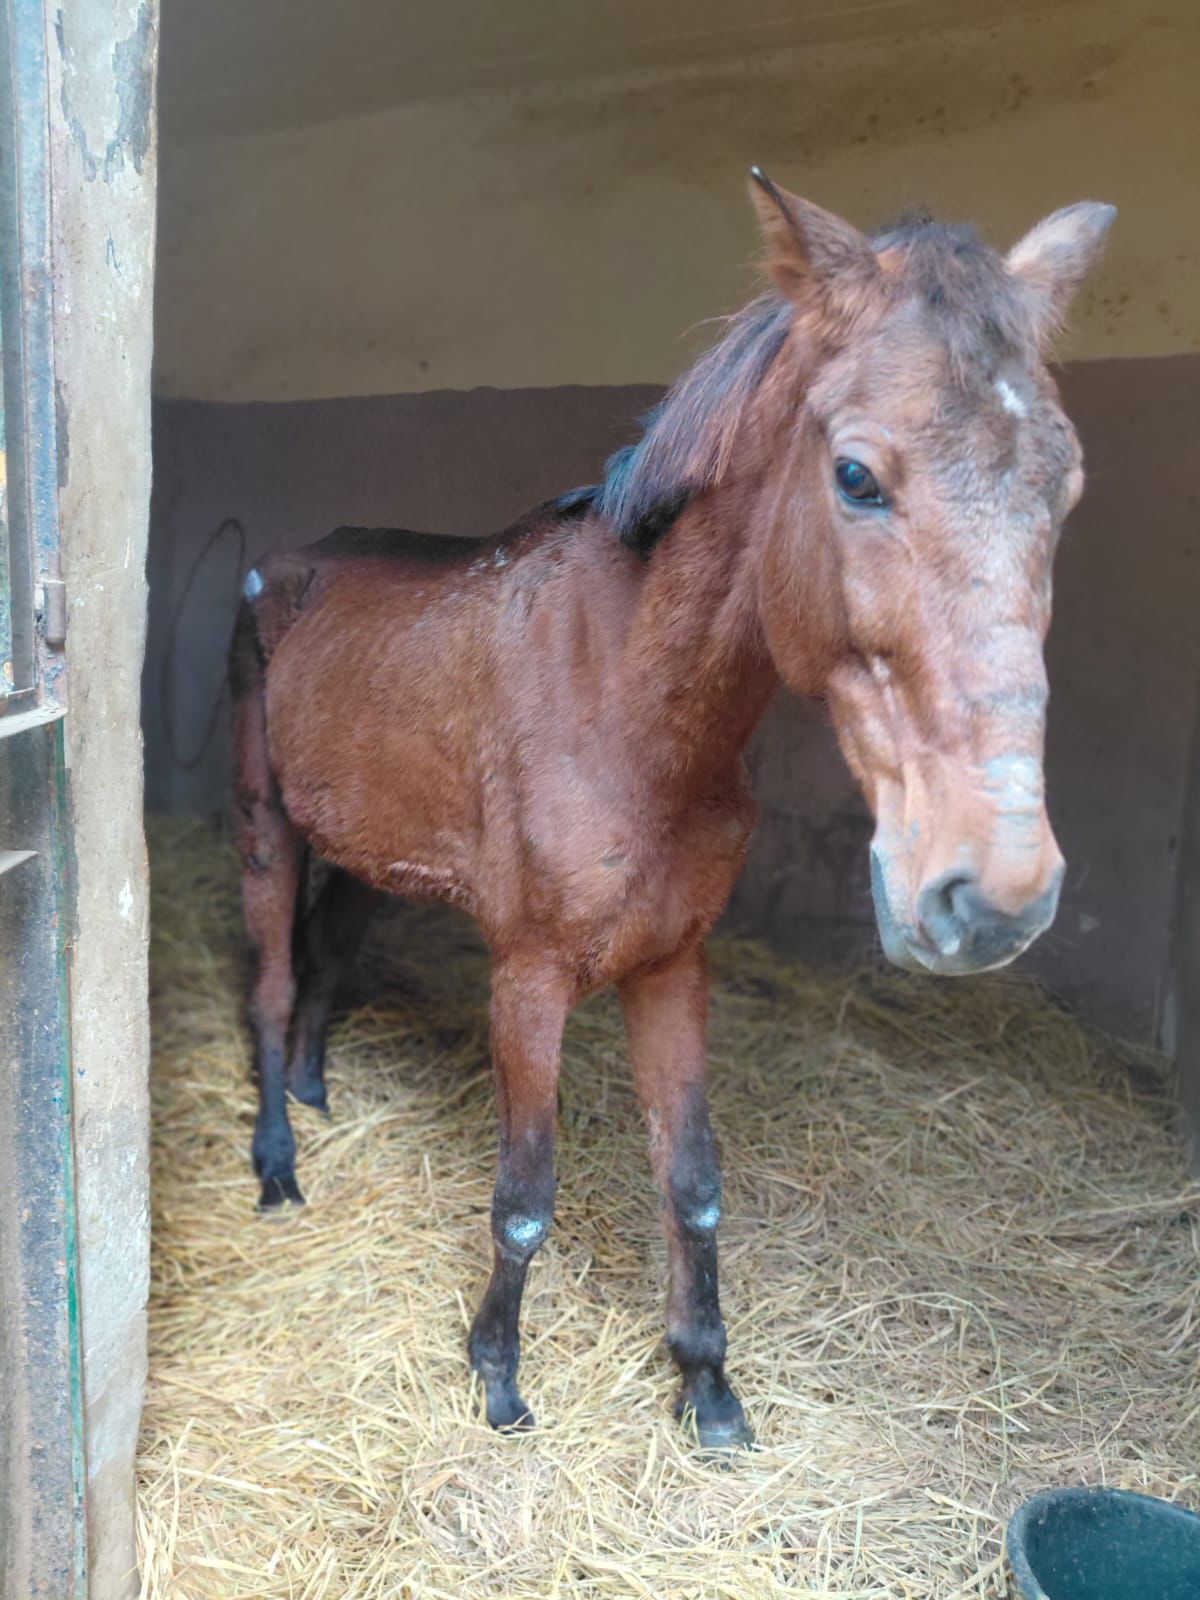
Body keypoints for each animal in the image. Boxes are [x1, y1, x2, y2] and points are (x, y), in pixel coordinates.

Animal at [230, 171, 1113, 1448]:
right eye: (857, 476)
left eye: (1063, 483)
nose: (991, 897)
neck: (629, 698)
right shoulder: (530, 980)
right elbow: (525, 1194)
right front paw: (498, 1375)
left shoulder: (671, 966)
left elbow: (692, 1182)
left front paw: (708, 1386)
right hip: (266, 829)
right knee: (270, 983)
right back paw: (277, 1161)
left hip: (359, 849)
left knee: (326, 962)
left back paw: (312, 1093)